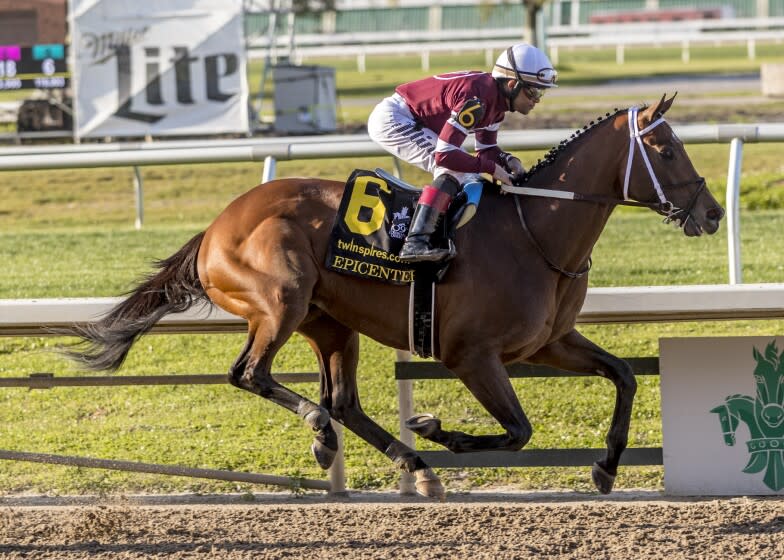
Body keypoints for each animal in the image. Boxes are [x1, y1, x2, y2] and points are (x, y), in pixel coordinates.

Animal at [61, 95, 724, 498]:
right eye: (667, 149)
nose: (713, 213)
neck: (535, 231)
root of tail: (217, 226)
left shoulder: (548, 344)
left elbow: (624, 376)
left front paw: (607, 466)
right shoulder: (471, 356)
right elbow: (518, 430)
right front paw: (436, 428)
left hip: (331, 323)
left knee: (343, 400)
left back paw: (407, 465)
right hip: (281, 301)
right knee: (251, 374)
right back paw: (331, 432)